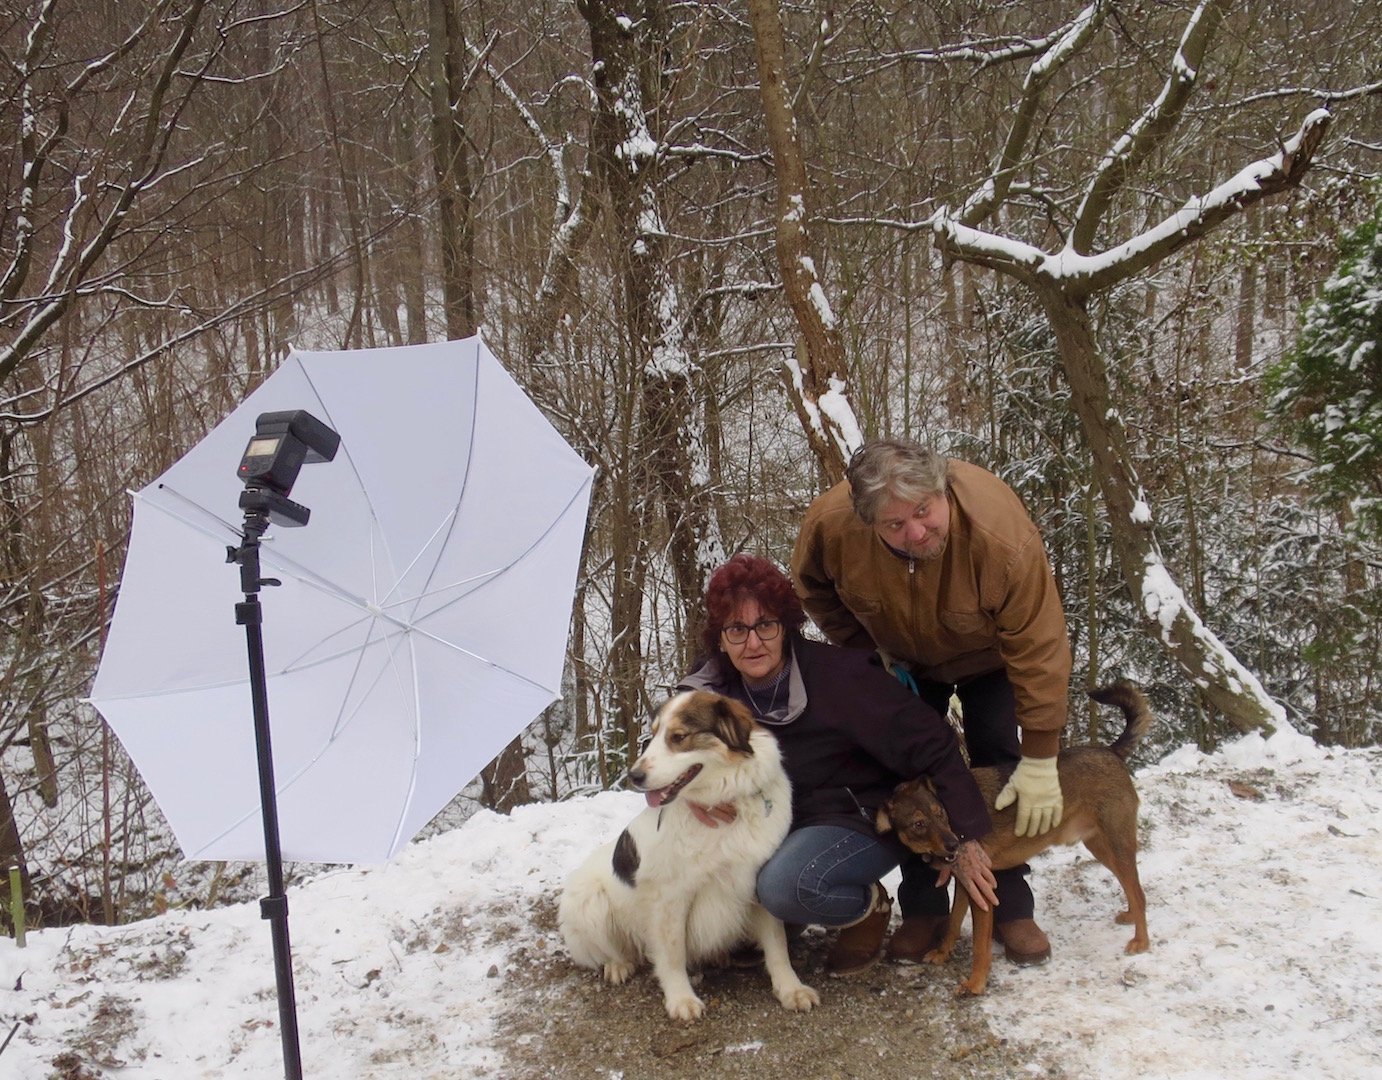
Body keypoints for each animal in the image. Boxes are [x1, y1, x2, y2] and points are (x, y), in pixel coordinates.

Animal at [558, 690, 819, 1020]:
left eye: (678, 737)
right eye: (652, 735)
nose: (634, 776)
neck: (726, 804)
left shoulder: (758, 881)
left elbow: (777, 944)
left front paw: (790, 988)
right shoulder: (669, 897)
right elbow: (672, 954)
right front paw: (681, 998)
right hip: (587, 901)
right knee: (609, 950)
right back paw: (617, 965)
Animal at [876, 682, 1152, 996]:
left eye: (940, 813)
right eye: (919, 824)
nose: (954, 844)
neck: (956, 819)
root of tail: (1110, 751)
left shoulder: (982, 892)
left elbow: (979, 946)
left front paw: (976, 983)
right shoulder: (967, 884)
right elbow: (953, 924)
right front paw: (942, 953)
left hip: (1117, 844)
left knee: (1139, 892)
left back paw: (1141, 941)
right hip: (1101, 847)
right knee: (1132, 888)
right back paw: (1130, 916)